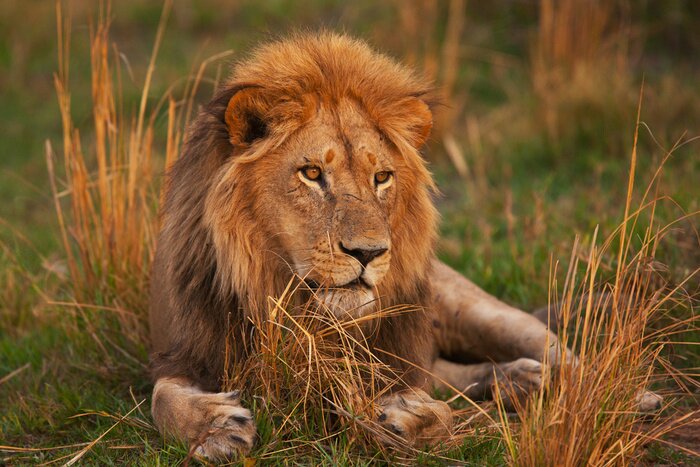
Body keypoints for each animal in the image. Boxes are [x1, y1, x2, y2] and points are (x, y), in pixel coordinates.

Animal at [148, 33, 658, 460]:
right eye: (311, 173)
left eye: (382, 177)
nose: (369, 253)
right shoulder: (187, 351)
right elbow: (162, 400)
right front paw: (217, 428)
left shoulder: (400, 363)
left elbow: (440, 411)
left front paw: (405, 420)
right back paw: (522, 380)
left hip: (480, 312)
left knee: (564, 356)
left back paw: (618, 394)